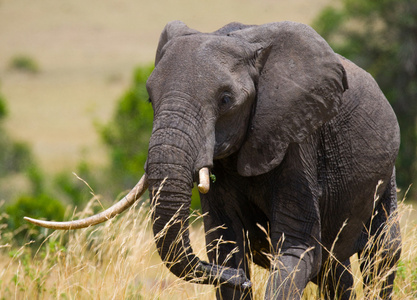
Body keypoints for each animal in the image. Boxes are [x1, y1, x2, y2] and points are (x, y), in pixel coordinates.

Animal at [25, 21, 400, 300]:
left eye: (225, 100)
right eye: (149, 99)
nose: (240, 279)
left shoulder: (296, 138)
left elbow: (298, 251)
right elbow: (226, 245)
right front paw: (235, 270)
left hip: (387, 178)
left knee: (381, 256)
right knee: (336, 271)